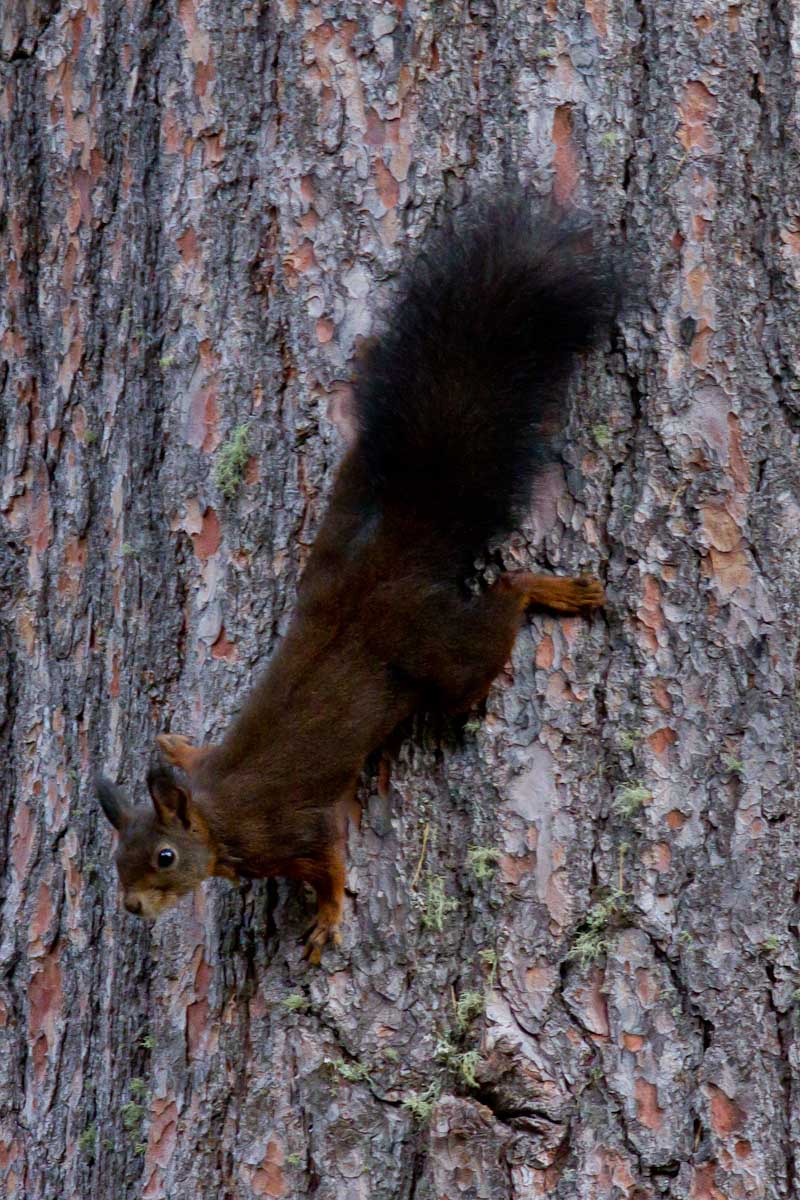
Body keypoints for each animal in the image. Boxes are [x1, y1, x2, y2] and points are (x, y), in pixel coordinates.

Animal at [95, 199, 618, 964]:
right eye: (117, 857)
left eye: (163, 857)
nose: (132, 908)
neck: (215, 818)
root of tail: (393, 552)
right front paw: (178, 745)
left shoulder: (294, 828)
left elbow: (330, 863)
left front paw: (329, 915)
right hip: (339, 532)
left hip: (436, 653)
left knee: (498, 613)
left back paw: (549, 591)